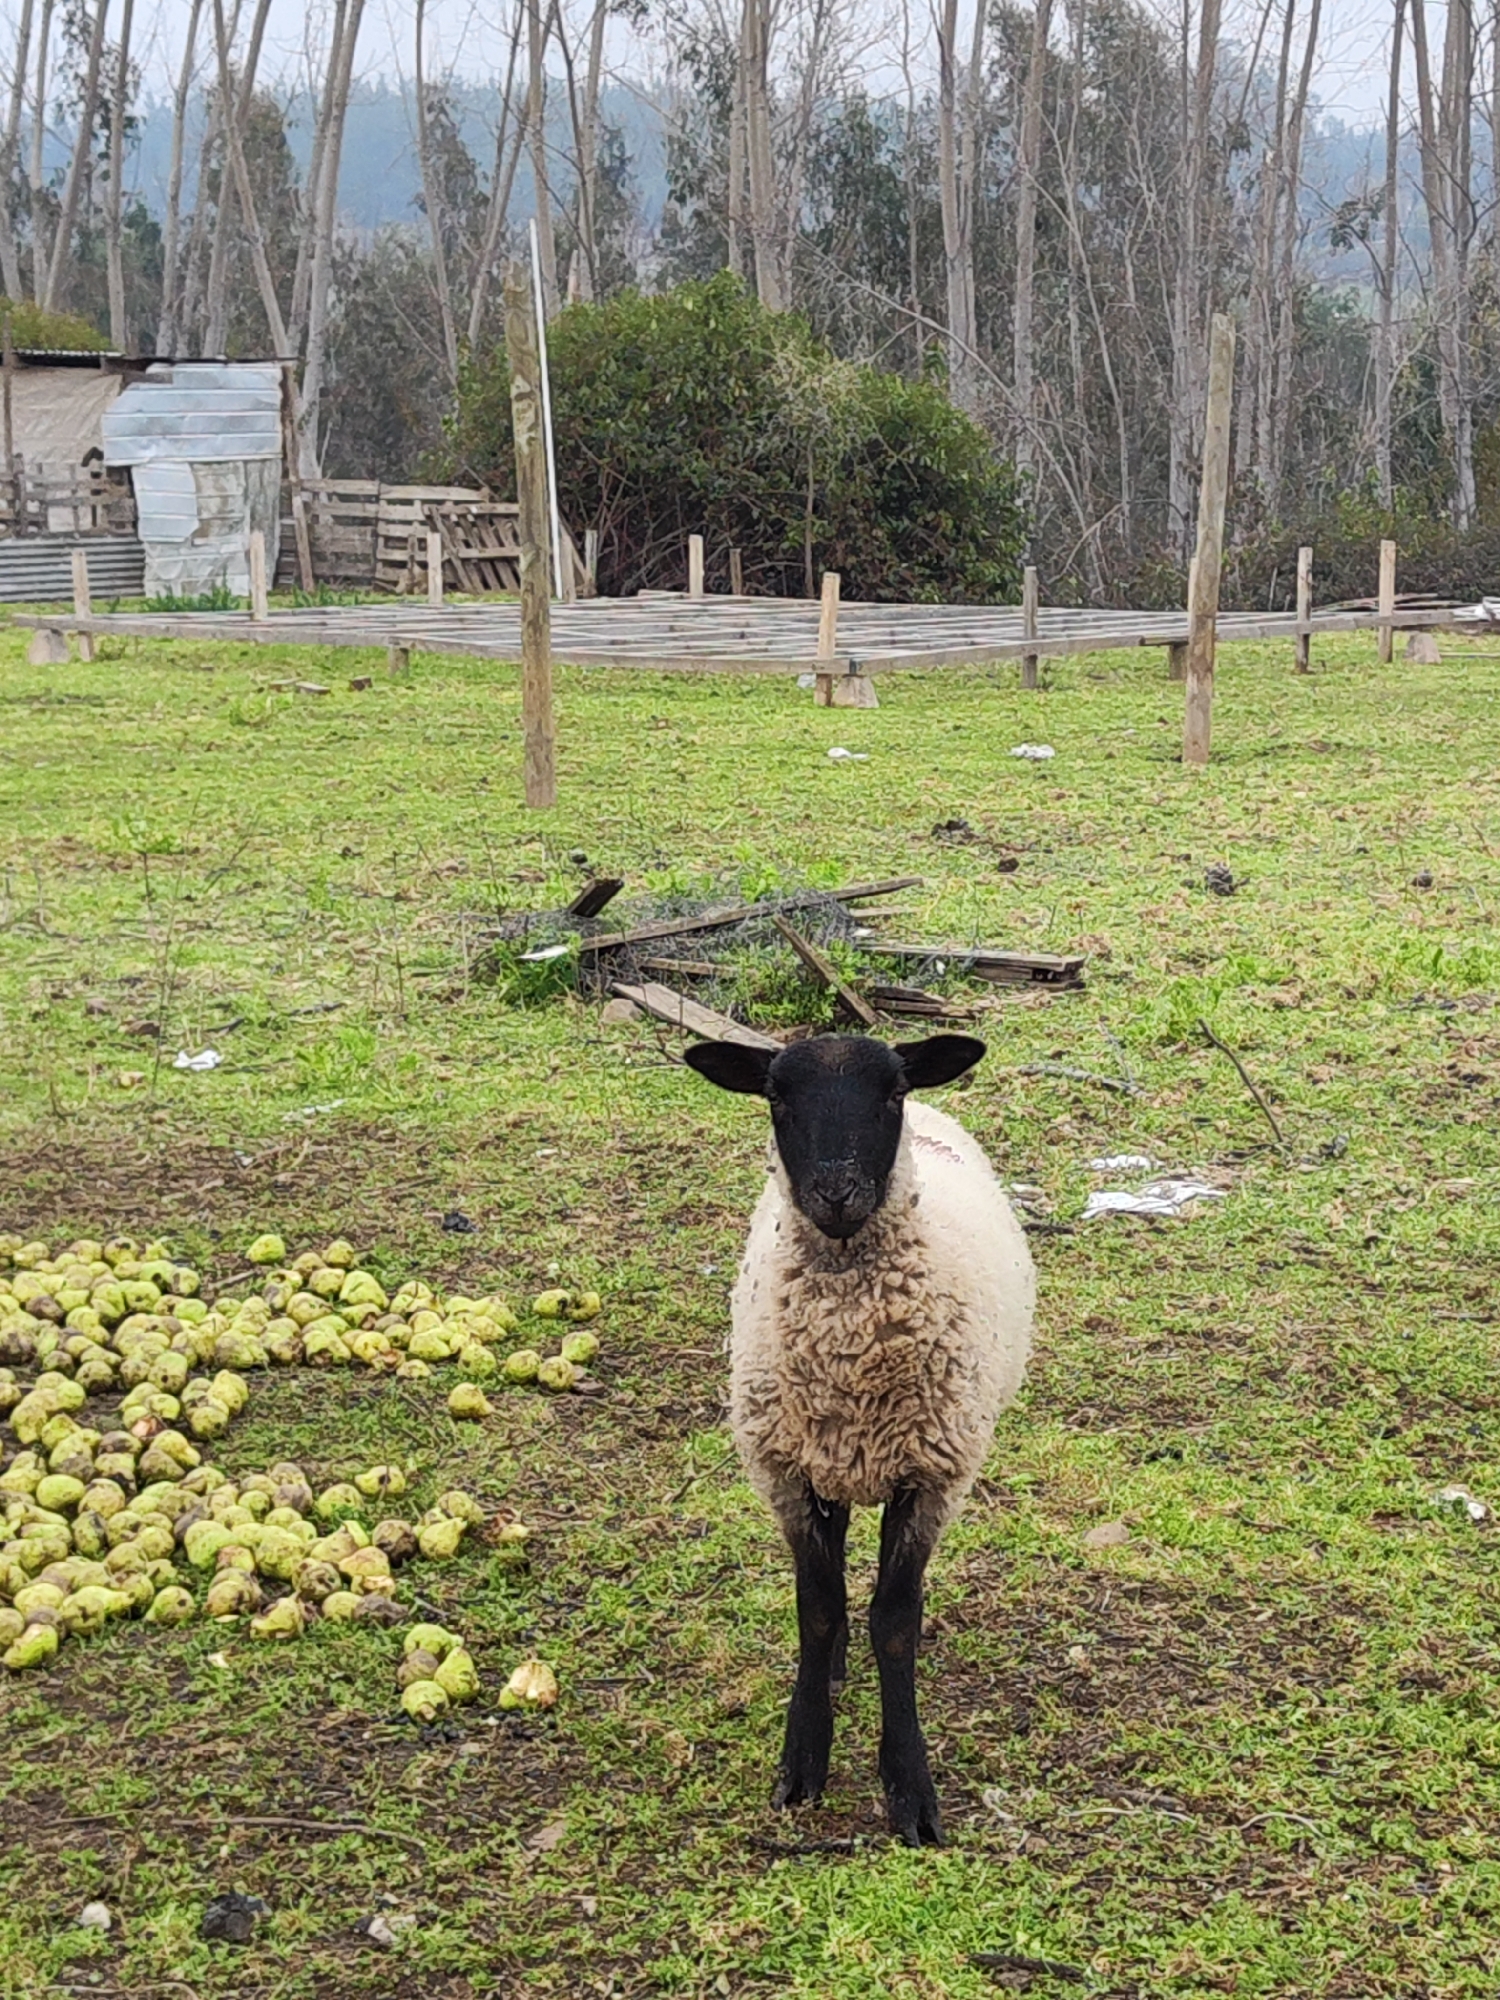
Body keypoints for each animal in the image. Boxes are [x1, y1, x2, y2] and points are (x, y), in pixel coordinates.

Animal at [683, 1030, 1035, 1845]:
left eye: (891, 1093)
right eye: (776, 1096)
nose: (837, 1192)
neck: (848, 1352)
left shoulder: (932, 1477)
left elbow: (895, 1622)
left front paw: (910, 1789)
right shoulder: (787, 1473)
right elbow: (816, 1610)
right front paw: (802, 1759)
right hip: (824, 1462)